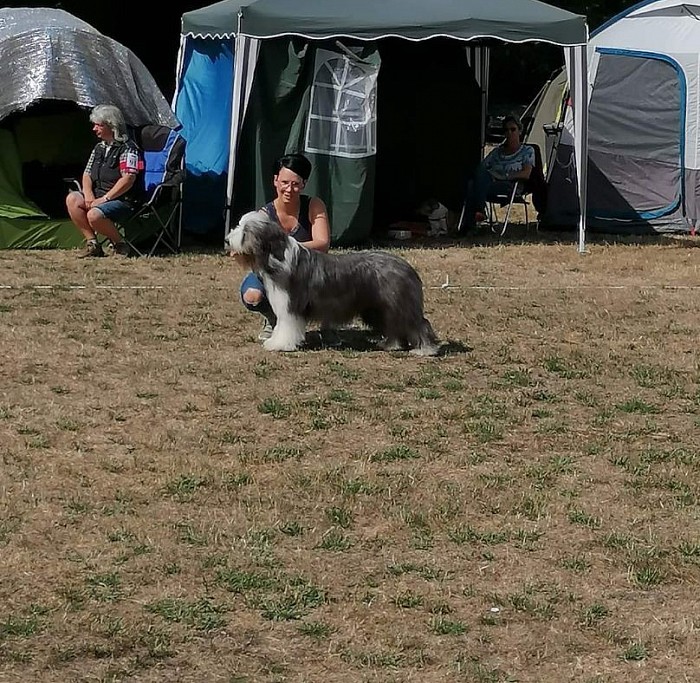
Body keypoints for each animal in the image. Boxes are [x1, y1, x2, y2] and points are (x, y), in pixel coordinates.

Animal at [228, 211, 438, 356]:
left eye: (245, 231)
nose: (227, 239)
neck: (277, 256)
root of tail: (406, 266)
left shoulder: (290, 306)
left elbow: (286, 326)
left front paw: (279, 345)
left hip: (398, 304)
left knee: (418, 323)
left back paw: (425, 349)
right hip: (381, 308)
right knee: (395, 326)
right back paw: (391, 345)